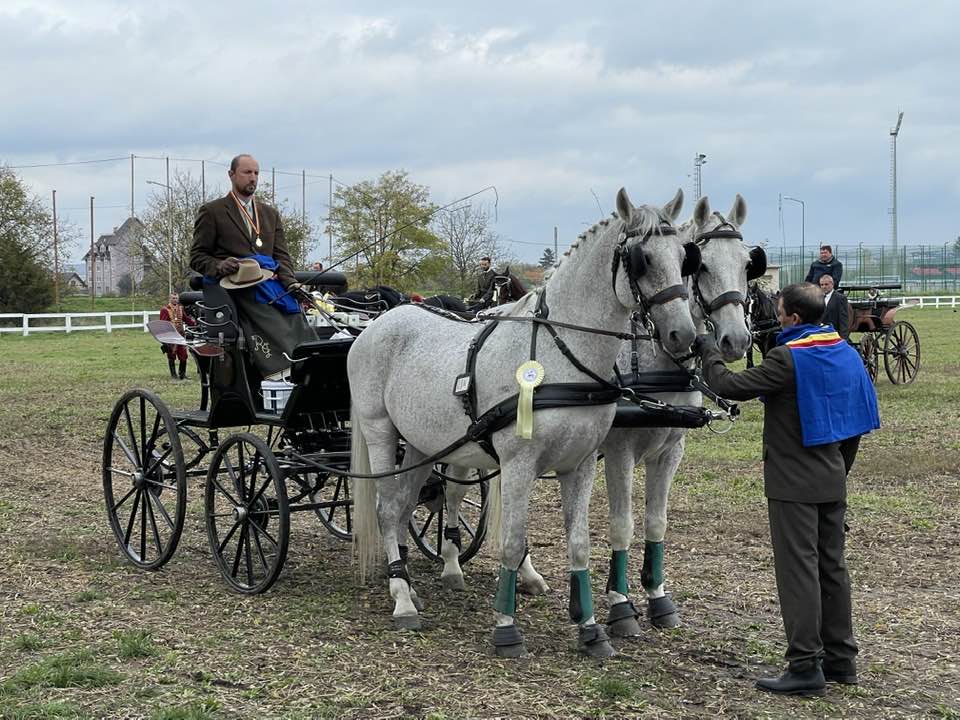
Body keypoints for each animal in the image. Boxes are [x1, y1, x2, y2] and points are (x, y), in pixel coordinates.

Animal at [350, 187, 696, 660]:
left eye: (684, 256)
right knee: (387, 509)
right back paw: (402, 599)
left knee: (405, 505)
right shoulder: (517, 464)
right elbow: (512, 541)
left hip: (423, 444)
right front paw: (506, 628)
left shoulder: (580, 464)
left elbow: (579, 543)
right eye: (642, 259)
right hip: (381, 432)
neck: (562, 356)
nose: (685, 335)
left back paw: (405, 581)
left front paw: (591, 629)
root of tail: (377, 323)